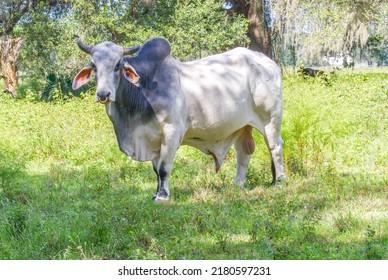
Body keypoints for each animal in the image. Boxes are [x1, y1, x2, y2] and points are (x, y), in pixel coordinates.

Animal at [73, 37, 284, 201]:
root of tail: (268, 62)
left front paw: (163, 196)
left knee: (275, 146)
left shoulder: (172, 131)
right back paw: (237, 184)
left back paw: (279, 181)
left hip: (270, 120)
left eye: (117, 65)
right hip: (242, 125)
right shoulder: (153, 139)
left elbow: (164, 168)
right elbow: (156, 170)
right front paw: (156, 192)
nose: (103, 94)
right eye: (94, 67)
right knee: (244, 152)